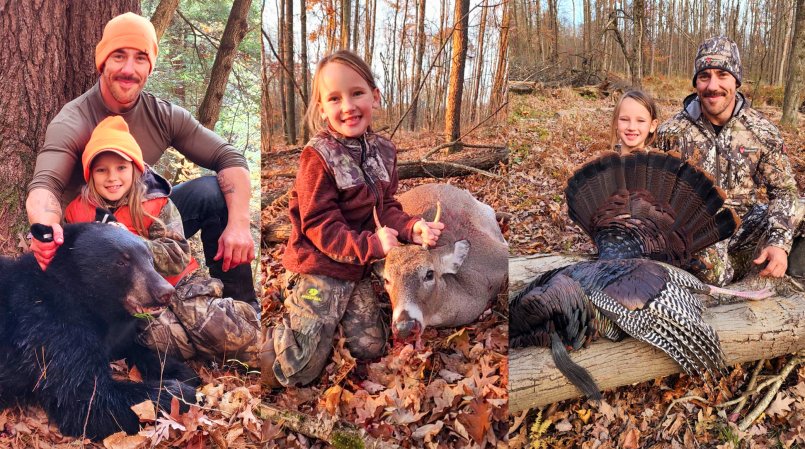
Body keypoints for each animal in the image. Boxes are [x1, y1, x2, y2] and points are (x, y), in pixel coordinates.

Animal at [0, 222, 199, 440]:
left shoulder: (113, 335)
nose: (165, 291)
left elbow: (130, 349)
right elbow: (88, 399)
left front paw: (182, 371)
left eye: (149, 258)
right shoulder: (48, 324)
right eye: (122, 261)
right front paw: (183, 392)